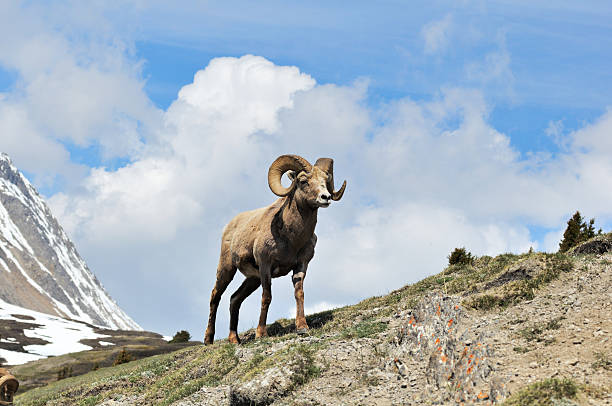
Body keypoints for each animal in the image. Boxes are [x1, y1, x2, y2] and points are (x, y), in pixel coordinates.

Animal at [206, 154, 346, 344]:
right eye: (303, 181)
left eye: (325, 180)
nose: (325, 197)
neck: (292, 238)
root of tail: (229, 227)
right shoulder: (265, 266)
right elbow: (267, 297)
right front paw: (261, 334)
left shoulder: (301, 265)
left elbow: (299, 293)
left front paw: (302, 328)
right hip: (227, 268)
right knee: (215, 296)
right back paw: (208, 339)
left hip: (252, 279)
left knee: (234, 299)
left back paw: (234, 339)